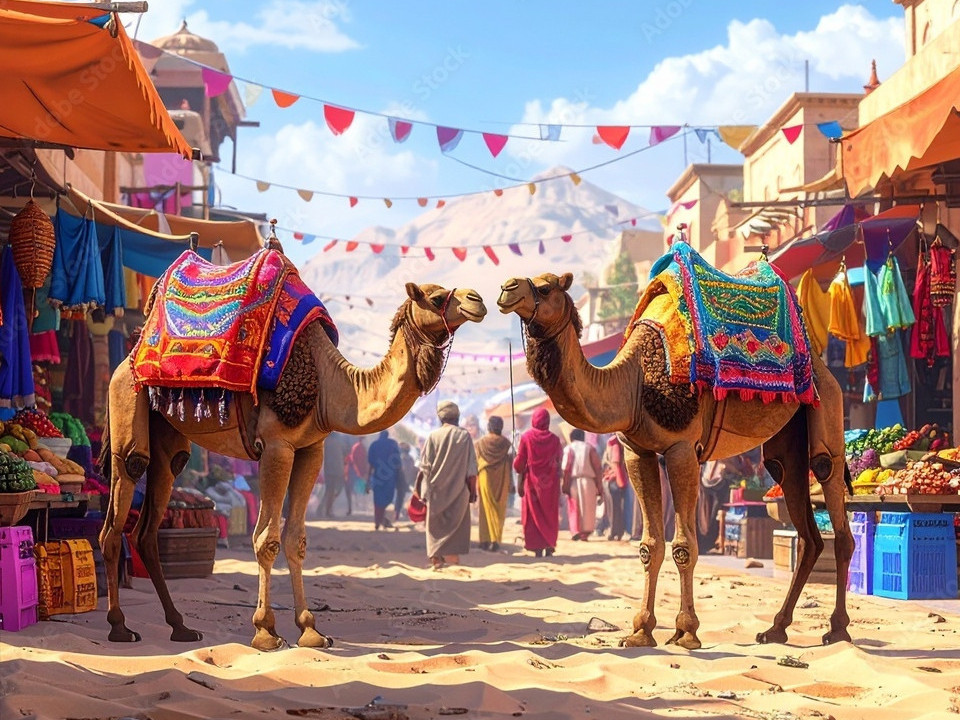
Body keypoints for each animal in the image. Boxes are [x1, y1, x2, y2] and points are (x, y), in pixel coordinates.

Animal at [99, 281, 486, 651]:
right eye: (436, 298)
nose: (477, 299)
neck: (330, 387)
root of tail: (127, 358)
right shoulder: (276, 447)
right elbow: (266, 539)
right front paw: (265, 632)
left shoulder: (311, 449)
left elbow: (295, 539)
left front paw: (311, 631)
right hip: (127, 404)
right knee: (121, 499)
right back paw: (120, 627)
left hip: (168, 437)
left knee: (149, 522)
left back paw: (181, 627)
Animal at [497, 272, 853, 649]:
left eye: (545, 287)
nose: (507, 288)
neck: (634, 383)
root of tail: (821, 366)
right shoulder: (636, 450)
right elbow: (649, 546)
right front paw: (640, 631)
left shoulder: (682, 449)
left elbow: (684, 546)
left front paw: (686, 632)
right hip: (787, 442)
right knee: (804, 524)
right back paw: (775, 629)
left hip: (826, 403)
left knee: (831, 488)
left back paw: (838, 629)